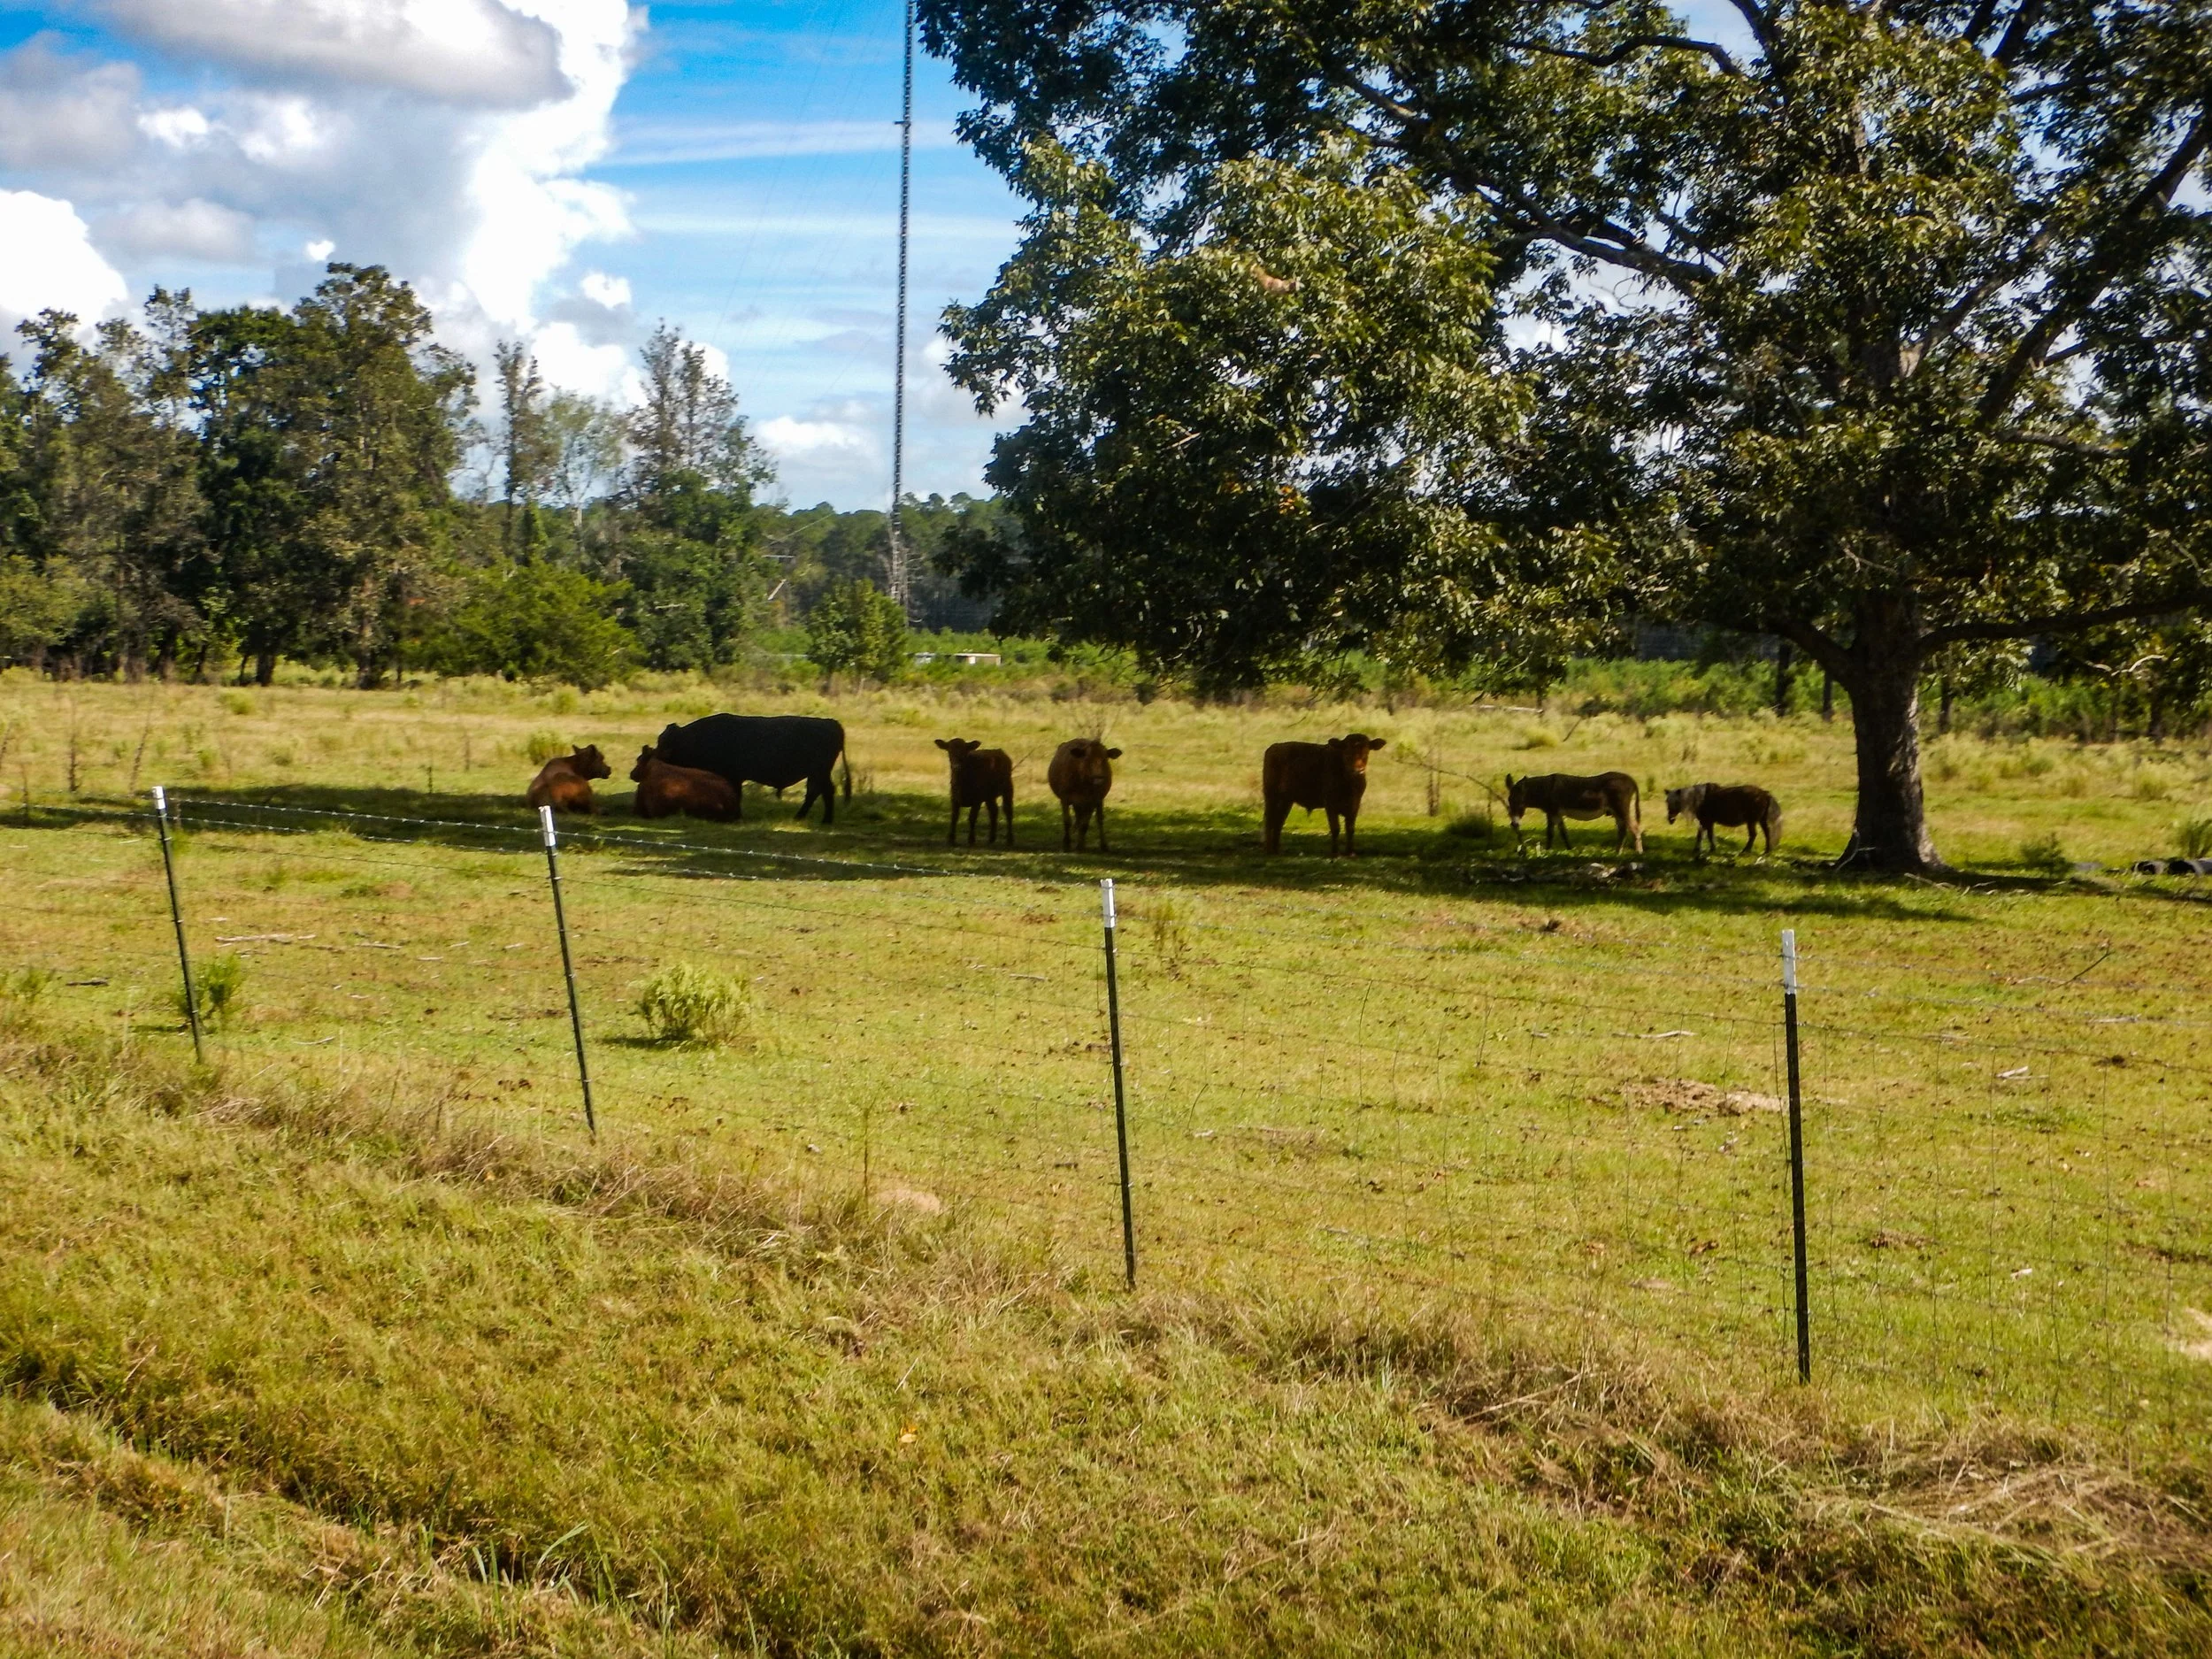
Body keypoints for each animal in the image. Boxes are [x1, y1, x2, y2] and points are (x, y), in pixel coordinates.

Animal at [649, 714, 850, 825]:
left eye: (662, 744)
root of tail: (831, 722)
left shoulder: (733, 777)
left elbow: (736, 795)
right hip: (817, 774)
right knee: (816, 792)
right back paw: (804, 818)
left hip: (819, 772)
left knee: (823, 791)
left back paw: (823, 820)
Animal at [1048, 738, 1121, 852]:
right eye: (1087, 759)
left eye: (1105, 758)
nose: (1099, 779)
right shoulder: (1065, 799)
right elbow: (1067, 821)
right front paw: (1067, 844)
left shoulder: (1092, 801)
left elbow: (1085, 824)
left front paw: (1080, 846)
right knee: (1079, 818)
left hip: (1098, 801)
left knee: (1099, 820)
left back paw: (1103, 845)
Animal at [1262, 733, 1386, 856]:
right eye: (1347, 752)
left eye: (1366, 752)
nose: (1358, 770)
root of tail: (1275, 746)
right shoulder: (1330, 804)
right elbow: (1335, 828)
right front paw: (1335, 853)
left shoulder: (1355, 805)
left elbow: (1350, 829)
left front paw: (1350, 853)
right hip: (1271, 795)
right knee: (1269, 820)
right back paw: (1268, 850)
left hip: (1286, 800)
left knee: (1279, 821)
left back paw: (1276, 850)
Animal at [1505, 771, 1643, 853]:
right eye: (1509, 800)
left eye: (1519, 802)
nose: (1514, 824)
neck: (1545, 789)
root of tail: (1631, 780)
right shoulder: (1557, 814)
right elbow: (1562, 833)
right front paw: (1569, 850)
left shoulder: (1552, 812)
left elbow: (1550, 833)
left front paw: (1549, 850)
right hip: (1616, 812)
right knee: (1623, 831)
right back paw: (1617, 853)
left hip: (1621, 809)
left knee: (1635, 829)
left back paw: (1638, 853)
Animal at [1666, 782, 1782, 857]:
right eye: (1667, 801)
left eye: (1676, 802)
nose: (1670, 819)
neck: (1700, 799)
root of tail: (1765, 793)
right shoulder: (1705, 822)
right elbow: (1701, 835)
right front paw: (1698, 849)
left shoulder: (1707, 821)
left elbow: (1708, 835)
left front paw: (1711, 849)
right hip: (1761, 820)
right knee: (1767, 833)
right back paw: (1767, 851)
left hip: (1751, 821)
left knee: (1753, 835)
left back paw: (1745, 851)